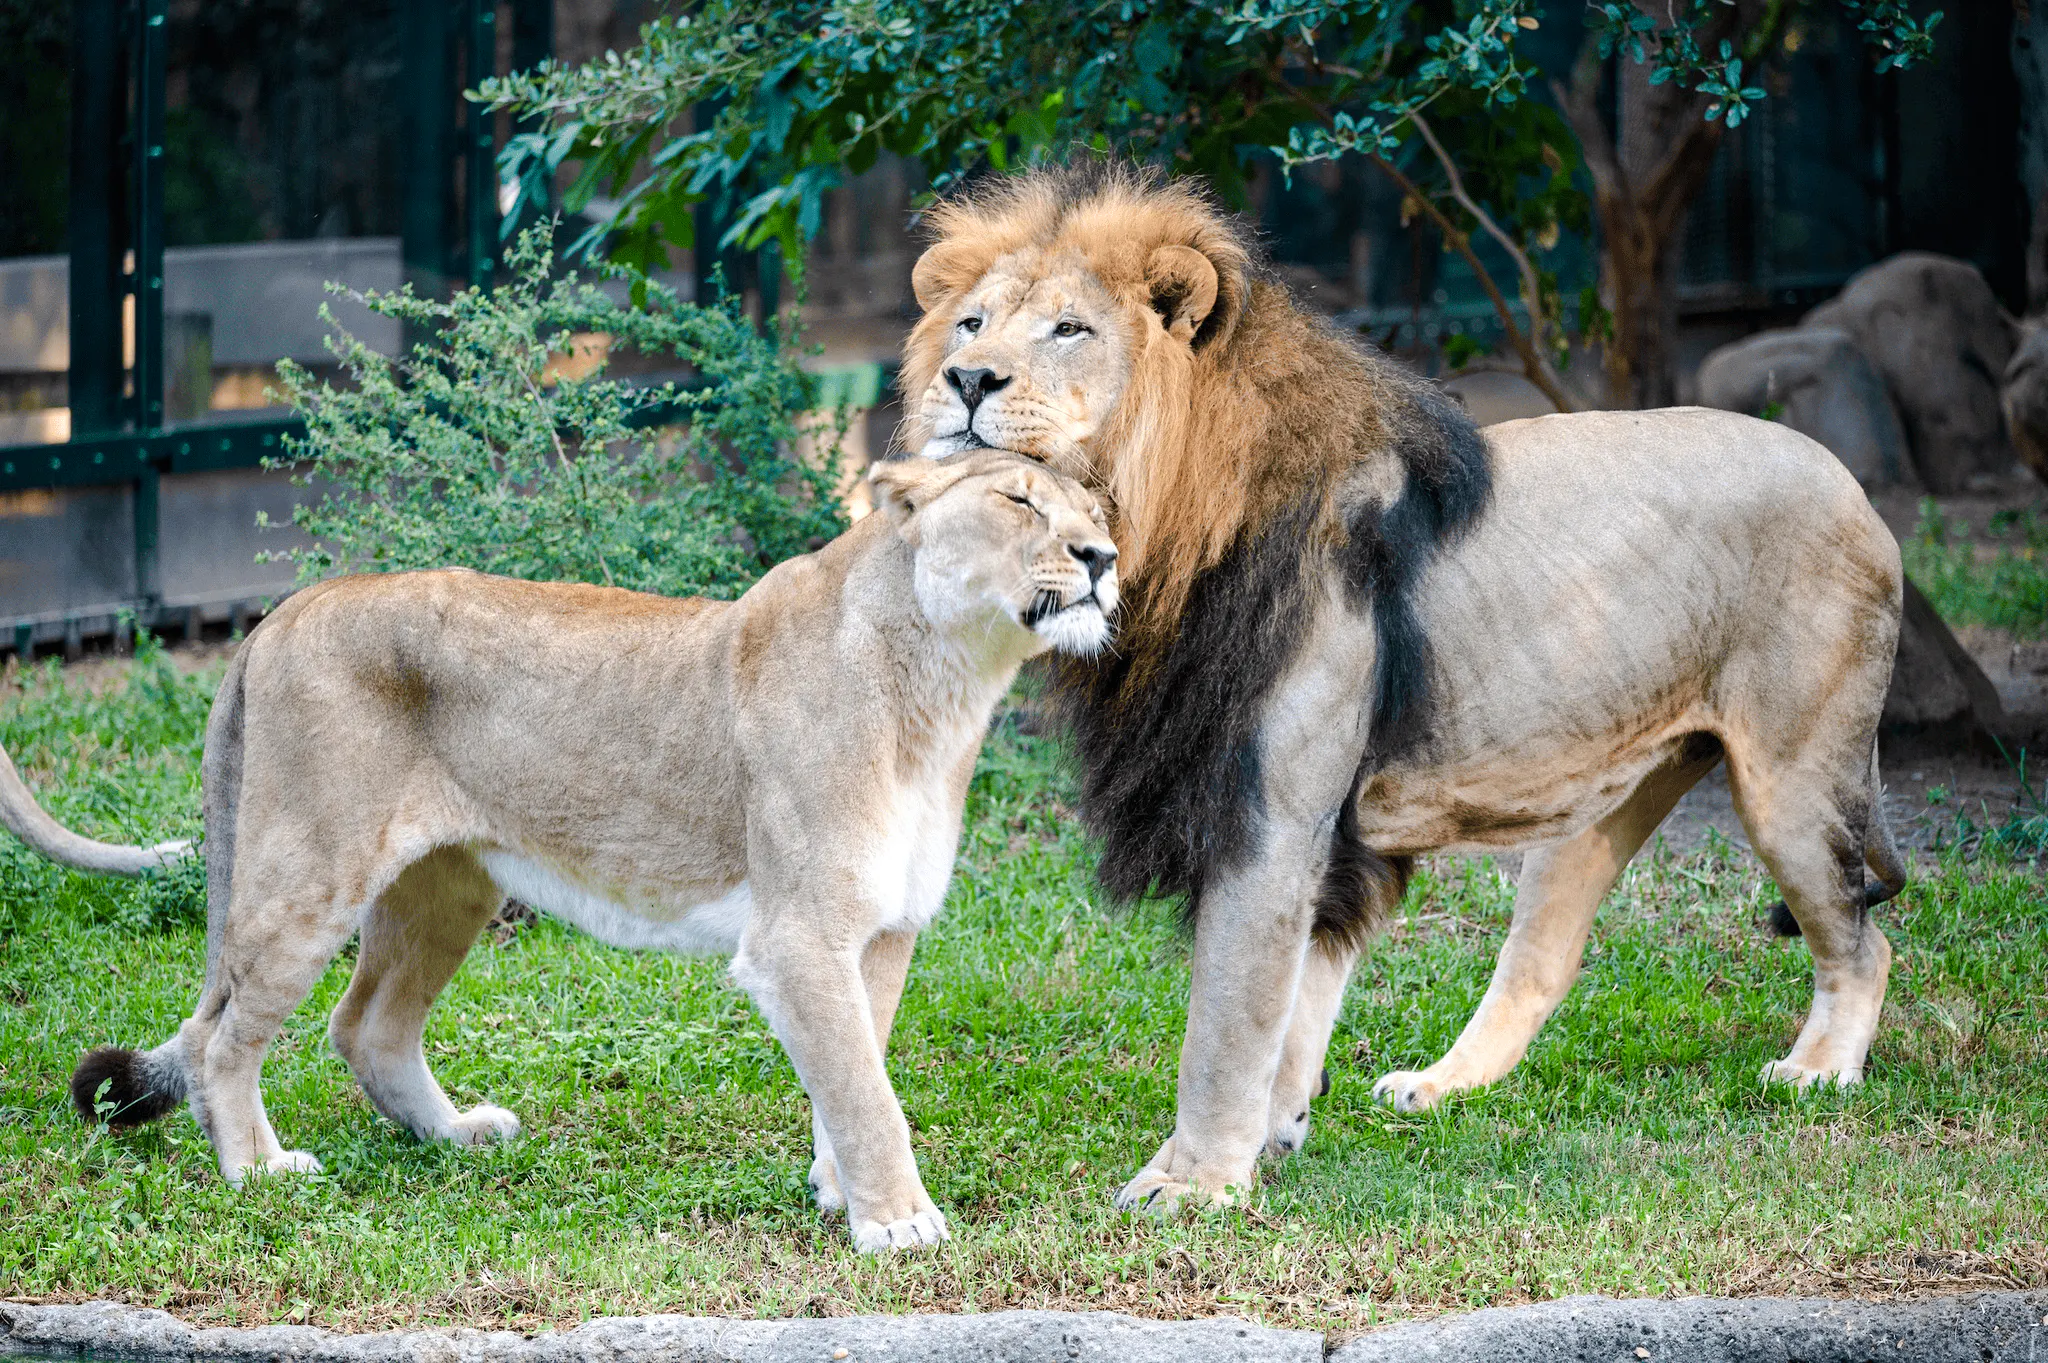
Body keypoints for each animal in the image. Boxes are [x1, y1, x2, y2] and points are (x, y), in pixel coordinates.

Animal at [7, 452, 1118, 1253]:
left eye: (1095, 507)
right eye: (1019, 500)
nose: (1102, 557)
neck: (945, 688)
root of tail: (287, 608)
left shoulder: (879, 931)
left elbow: (856, 1074)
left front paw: (837, 1192)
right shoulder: (799, 939)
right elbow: (865, 1091)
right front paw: (898, 1223)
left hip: (445, 886)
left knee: (364, 1024)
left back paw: (453, 1135)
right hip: (306, 874)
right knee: (218, 1038)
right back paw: (257, 1173)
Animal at [902, 164, 1906, 1214]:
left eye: (1070, 329)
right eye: (971, 324)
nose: (965, 379)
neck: (1162, 517)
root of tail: (1854, 488)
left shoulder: (1270, 813)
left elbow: (1227, 1017)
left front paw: (1193, 1184)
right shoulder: (1324, 829)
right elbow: (1296, 997)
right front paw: (1273, 1133)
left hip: (1793, 777)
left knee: (1862, 942)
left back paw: (1819, 1070)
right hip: (1610, 786)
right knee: (1541, 958)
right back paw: (1438, 1086)